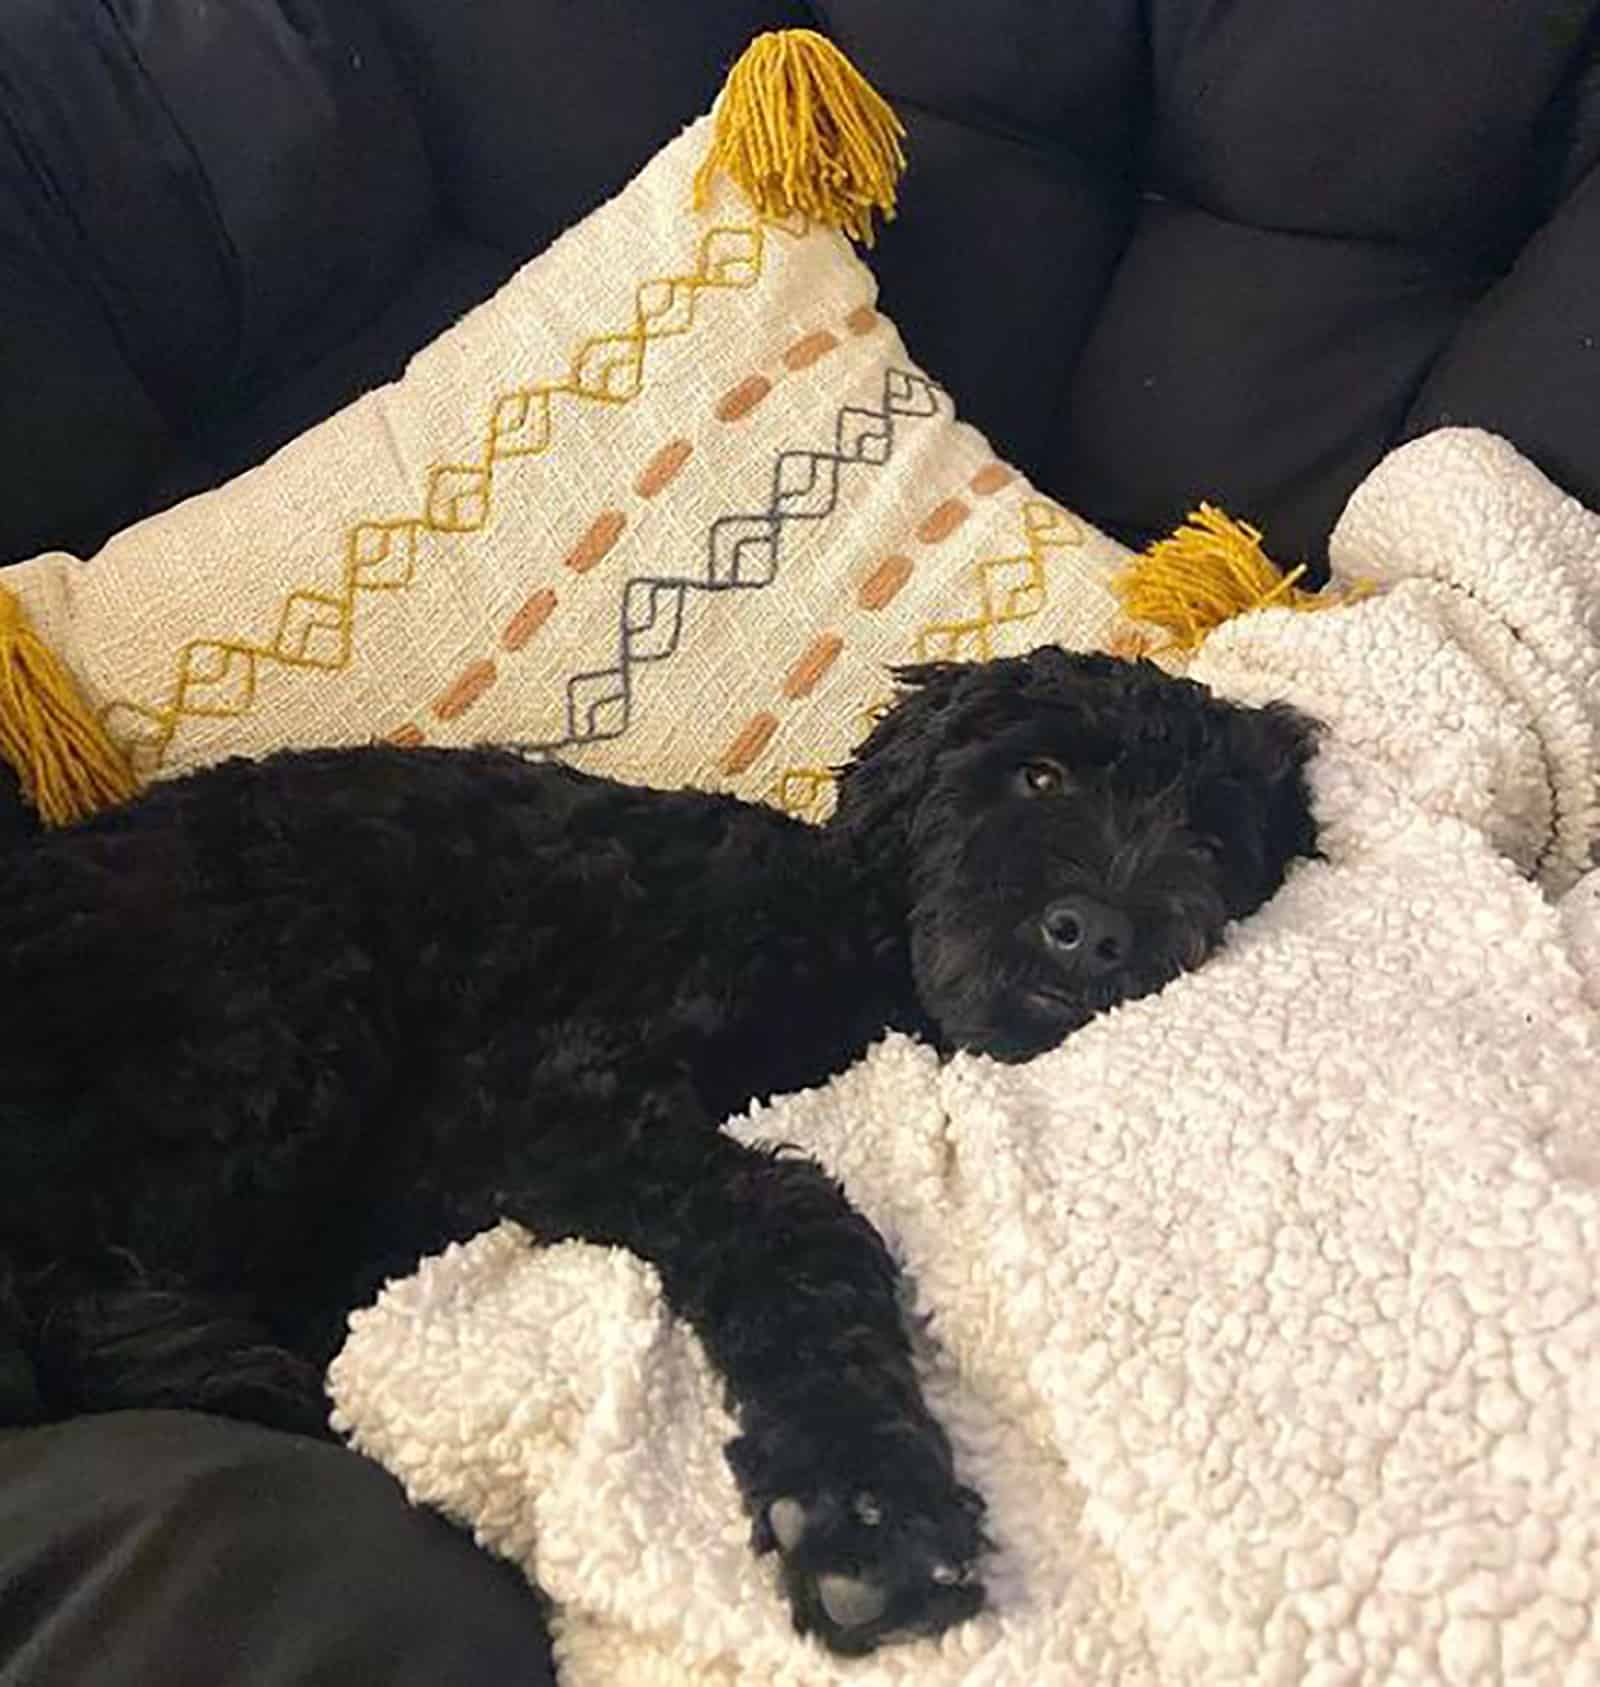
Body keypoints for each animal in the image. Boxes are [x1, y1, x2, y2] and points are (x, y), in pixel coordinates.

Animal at [0, 651, 1316, 1653]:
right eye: (1037, 773)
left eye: (1209, 840)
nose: (1094, 933)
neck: (860, 927)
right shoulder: (530, 1096)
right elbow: (795, 1214)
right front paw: (868, 1508)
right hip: (275, 1016)